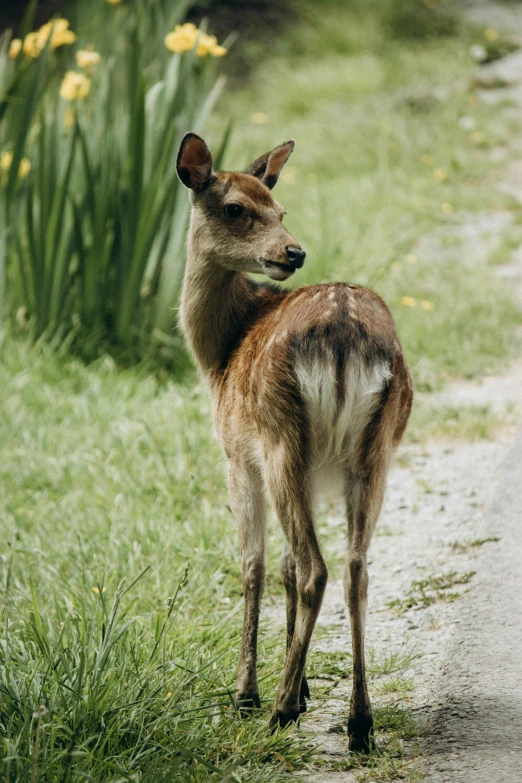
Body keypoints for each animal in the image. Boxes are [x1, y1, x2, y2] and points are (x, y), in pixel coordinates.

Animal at [177, 135, 412, 752]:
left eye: (278, 209)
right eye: (237, 207)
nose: (294, 251)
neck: (219, 357)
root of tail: (344, 335)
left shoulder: (238, 455)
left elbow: (255, 563)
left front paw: (247, 692)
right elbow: (281, 563)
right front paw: (302, 685)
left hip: (283, 439)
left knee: (316, 569)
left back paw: (278, 711)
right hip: (374, 454)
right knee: (355, 567)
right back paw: (359, 723)